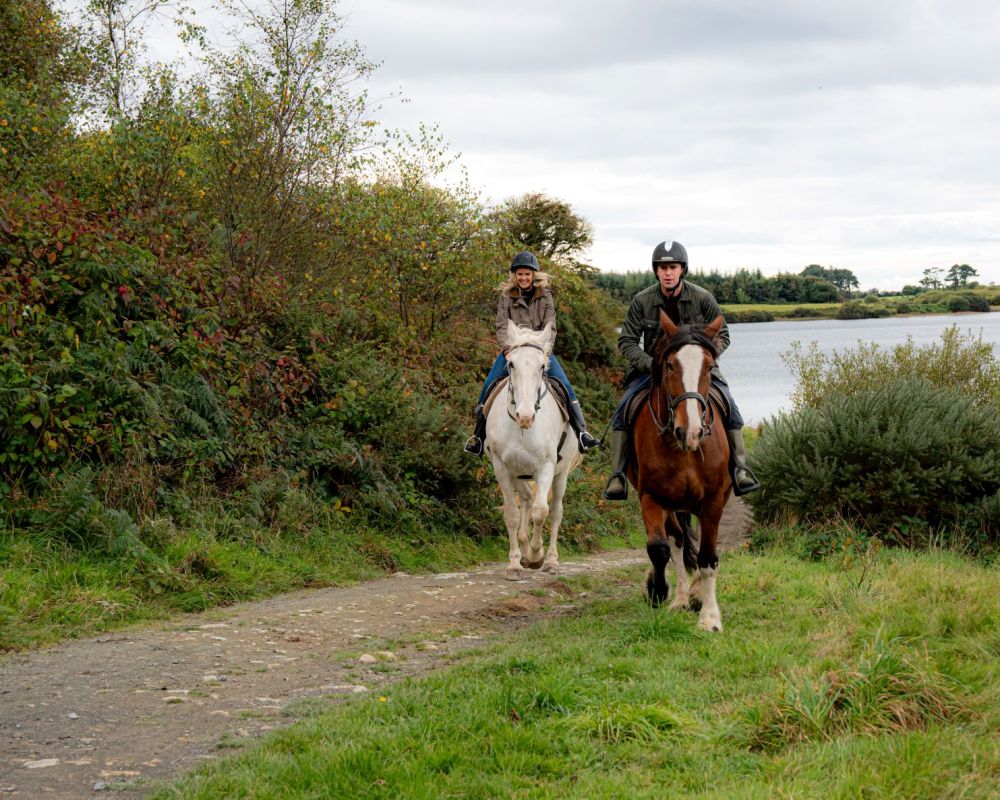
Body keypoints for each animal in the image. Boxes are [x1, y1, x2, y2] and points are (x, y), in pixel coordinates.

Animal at [482, 320, 580, 580]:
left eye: (542, 366)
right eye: (511, 363)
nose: (524, 417)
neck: (522, 429)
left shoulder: (545, 467)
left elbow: (540, 511)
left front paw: (537, 556)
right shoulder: (502, 468)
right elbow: (512, 514)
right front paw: (516, 564)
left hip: (560, 474)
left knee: (555, 511)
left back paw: (551, 561)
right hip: (518, 474)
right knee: (525, 499)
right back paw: (525, 550)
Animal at [628, 312, 732, 632]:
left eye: (709, 367)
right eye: (671, 365)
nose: (691, 431)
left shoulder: (713, 502)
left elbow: (708, 559)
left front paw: (709, 618)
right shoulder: (651, 497)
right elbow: (660, 549)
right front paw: (658, 591)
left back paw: (696, 595)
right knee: (676, 541)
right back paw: (682, 599)